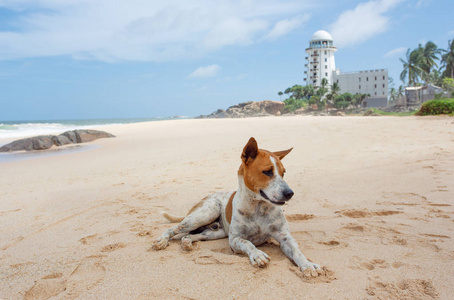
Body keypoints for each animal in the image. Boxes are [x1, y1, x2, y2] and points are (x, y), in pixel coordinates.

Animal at [153, 137, 322, 274]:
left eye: (283, 173)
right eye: (267, 172)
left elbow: (297, 251)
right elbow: (248, 243)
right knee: (174, 229)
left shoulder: (285, 237)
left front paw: (308, 265)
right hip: (205, 213)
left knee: (191, 235)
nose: (290, 193)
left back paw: (187, 242)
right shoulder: (235, 239)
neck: (259, 207)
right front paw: (258, 254)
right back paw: (162, 241)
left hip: (216, 232)